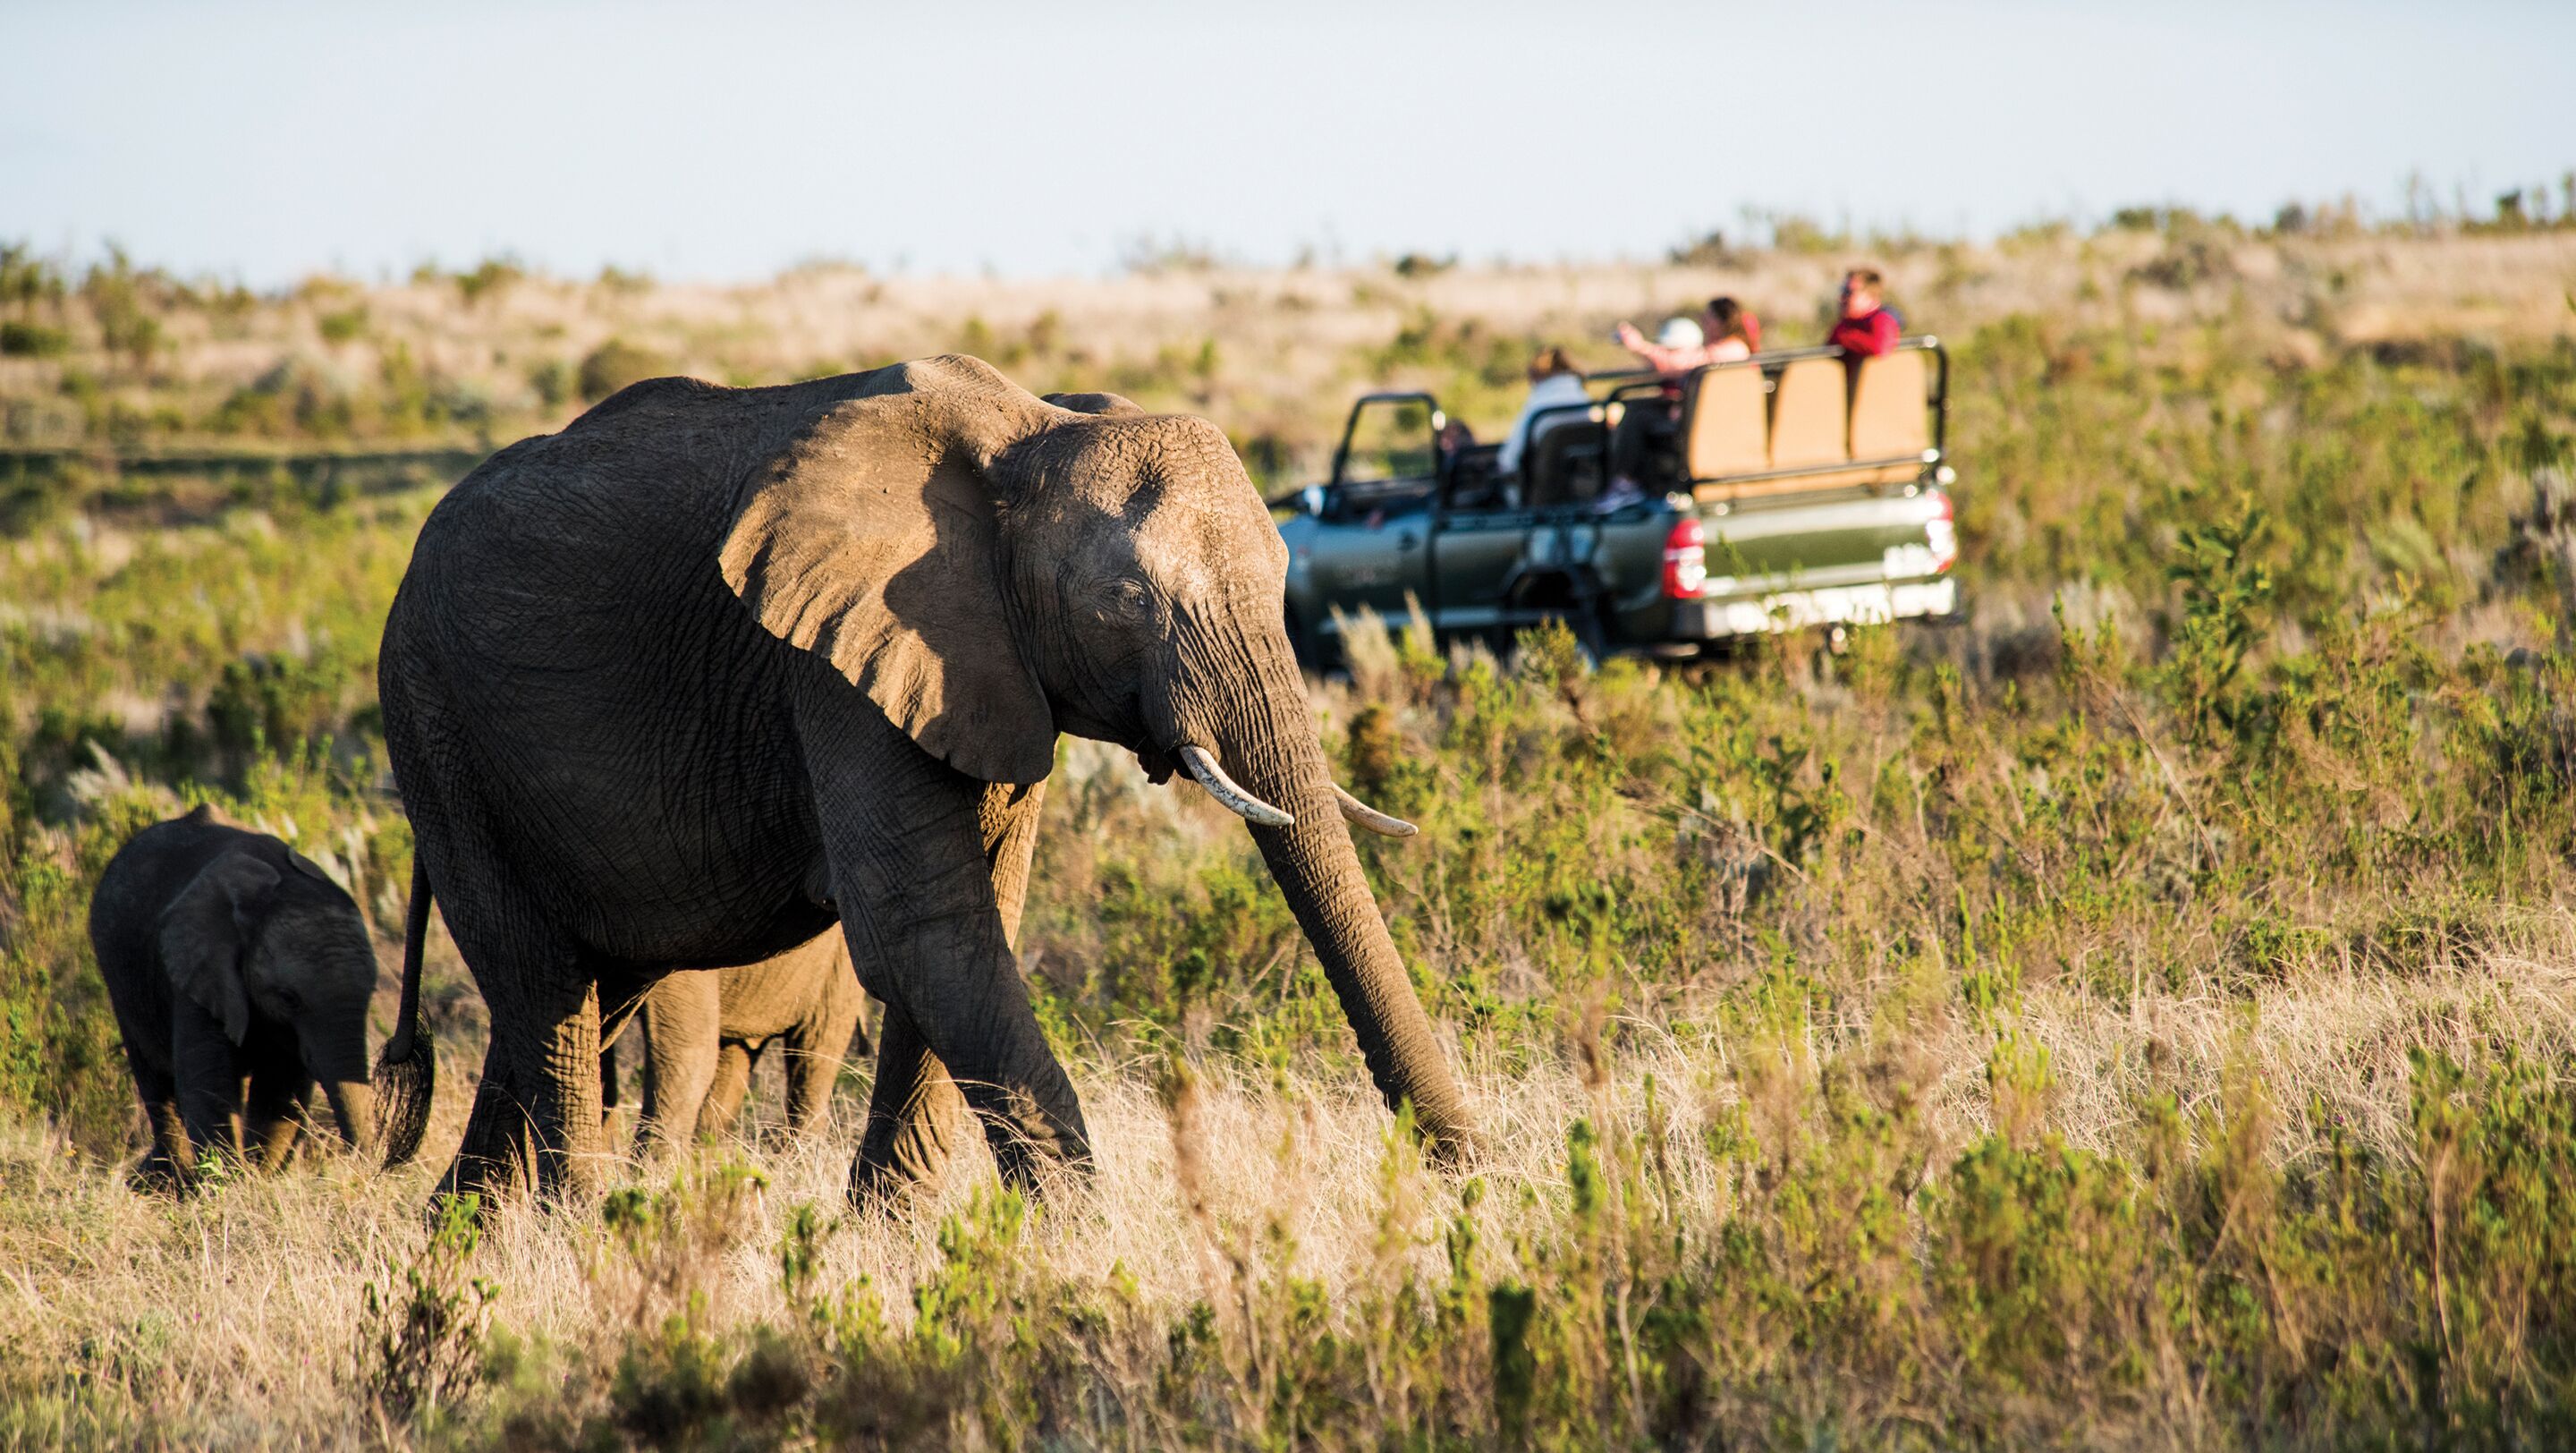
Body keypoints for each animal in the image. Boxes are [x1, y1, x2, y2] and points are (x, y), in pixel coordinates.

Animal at [87, 805, 432, 1187]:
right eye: (288, 997)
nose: (375, 1169)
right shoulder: (199, 973)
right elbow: (210, 1090)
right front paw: (230, 1186)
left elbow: (280, 1091)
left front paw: (258, 1180)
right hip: (121, 979)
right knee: (155, 1083)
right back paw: (171, 1182)